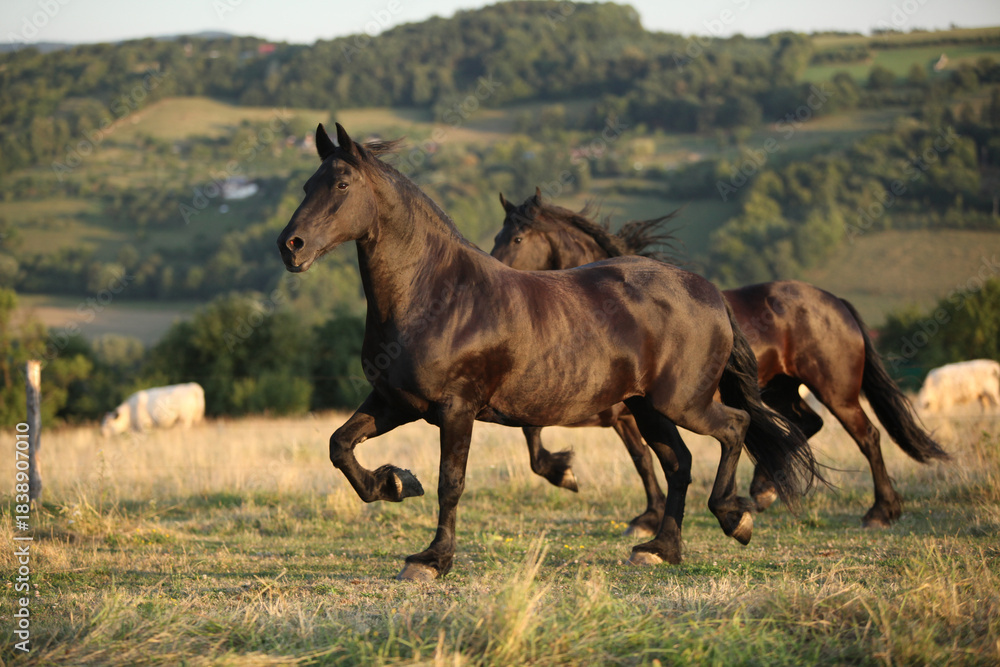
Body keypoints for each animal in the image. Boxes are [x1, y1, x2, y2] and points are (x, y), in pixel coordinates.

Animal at [277, 123, 818, 580]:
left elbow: (451, 481)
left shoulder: (456, 409)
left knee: (735, 428)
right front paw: (394, 483)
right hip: (648, 407)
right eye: (307, 185)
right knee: (678, 462)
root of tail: (708, 293)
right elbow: (340, 446)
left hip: (683, 402)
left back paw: (734, 518)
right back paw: (660, 549)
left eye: (341, 185)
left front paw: (432, 560)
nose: (290, 246)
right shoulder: (395, 402)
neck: (437, 294)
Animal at [490, 189, 948, 532]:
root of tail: (834, 301)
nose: (496, 275)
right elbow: (622, 455)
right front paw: (639, 512)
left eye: (517, 239)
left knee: (866, 436)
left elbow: (635, 457)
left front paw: (631, 510)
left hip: (836, 389)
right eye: (498, 235)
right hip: (781, 389)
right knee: (804, 425)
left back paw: (880, 512)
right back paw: (763, 491)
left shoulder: (618, 410)